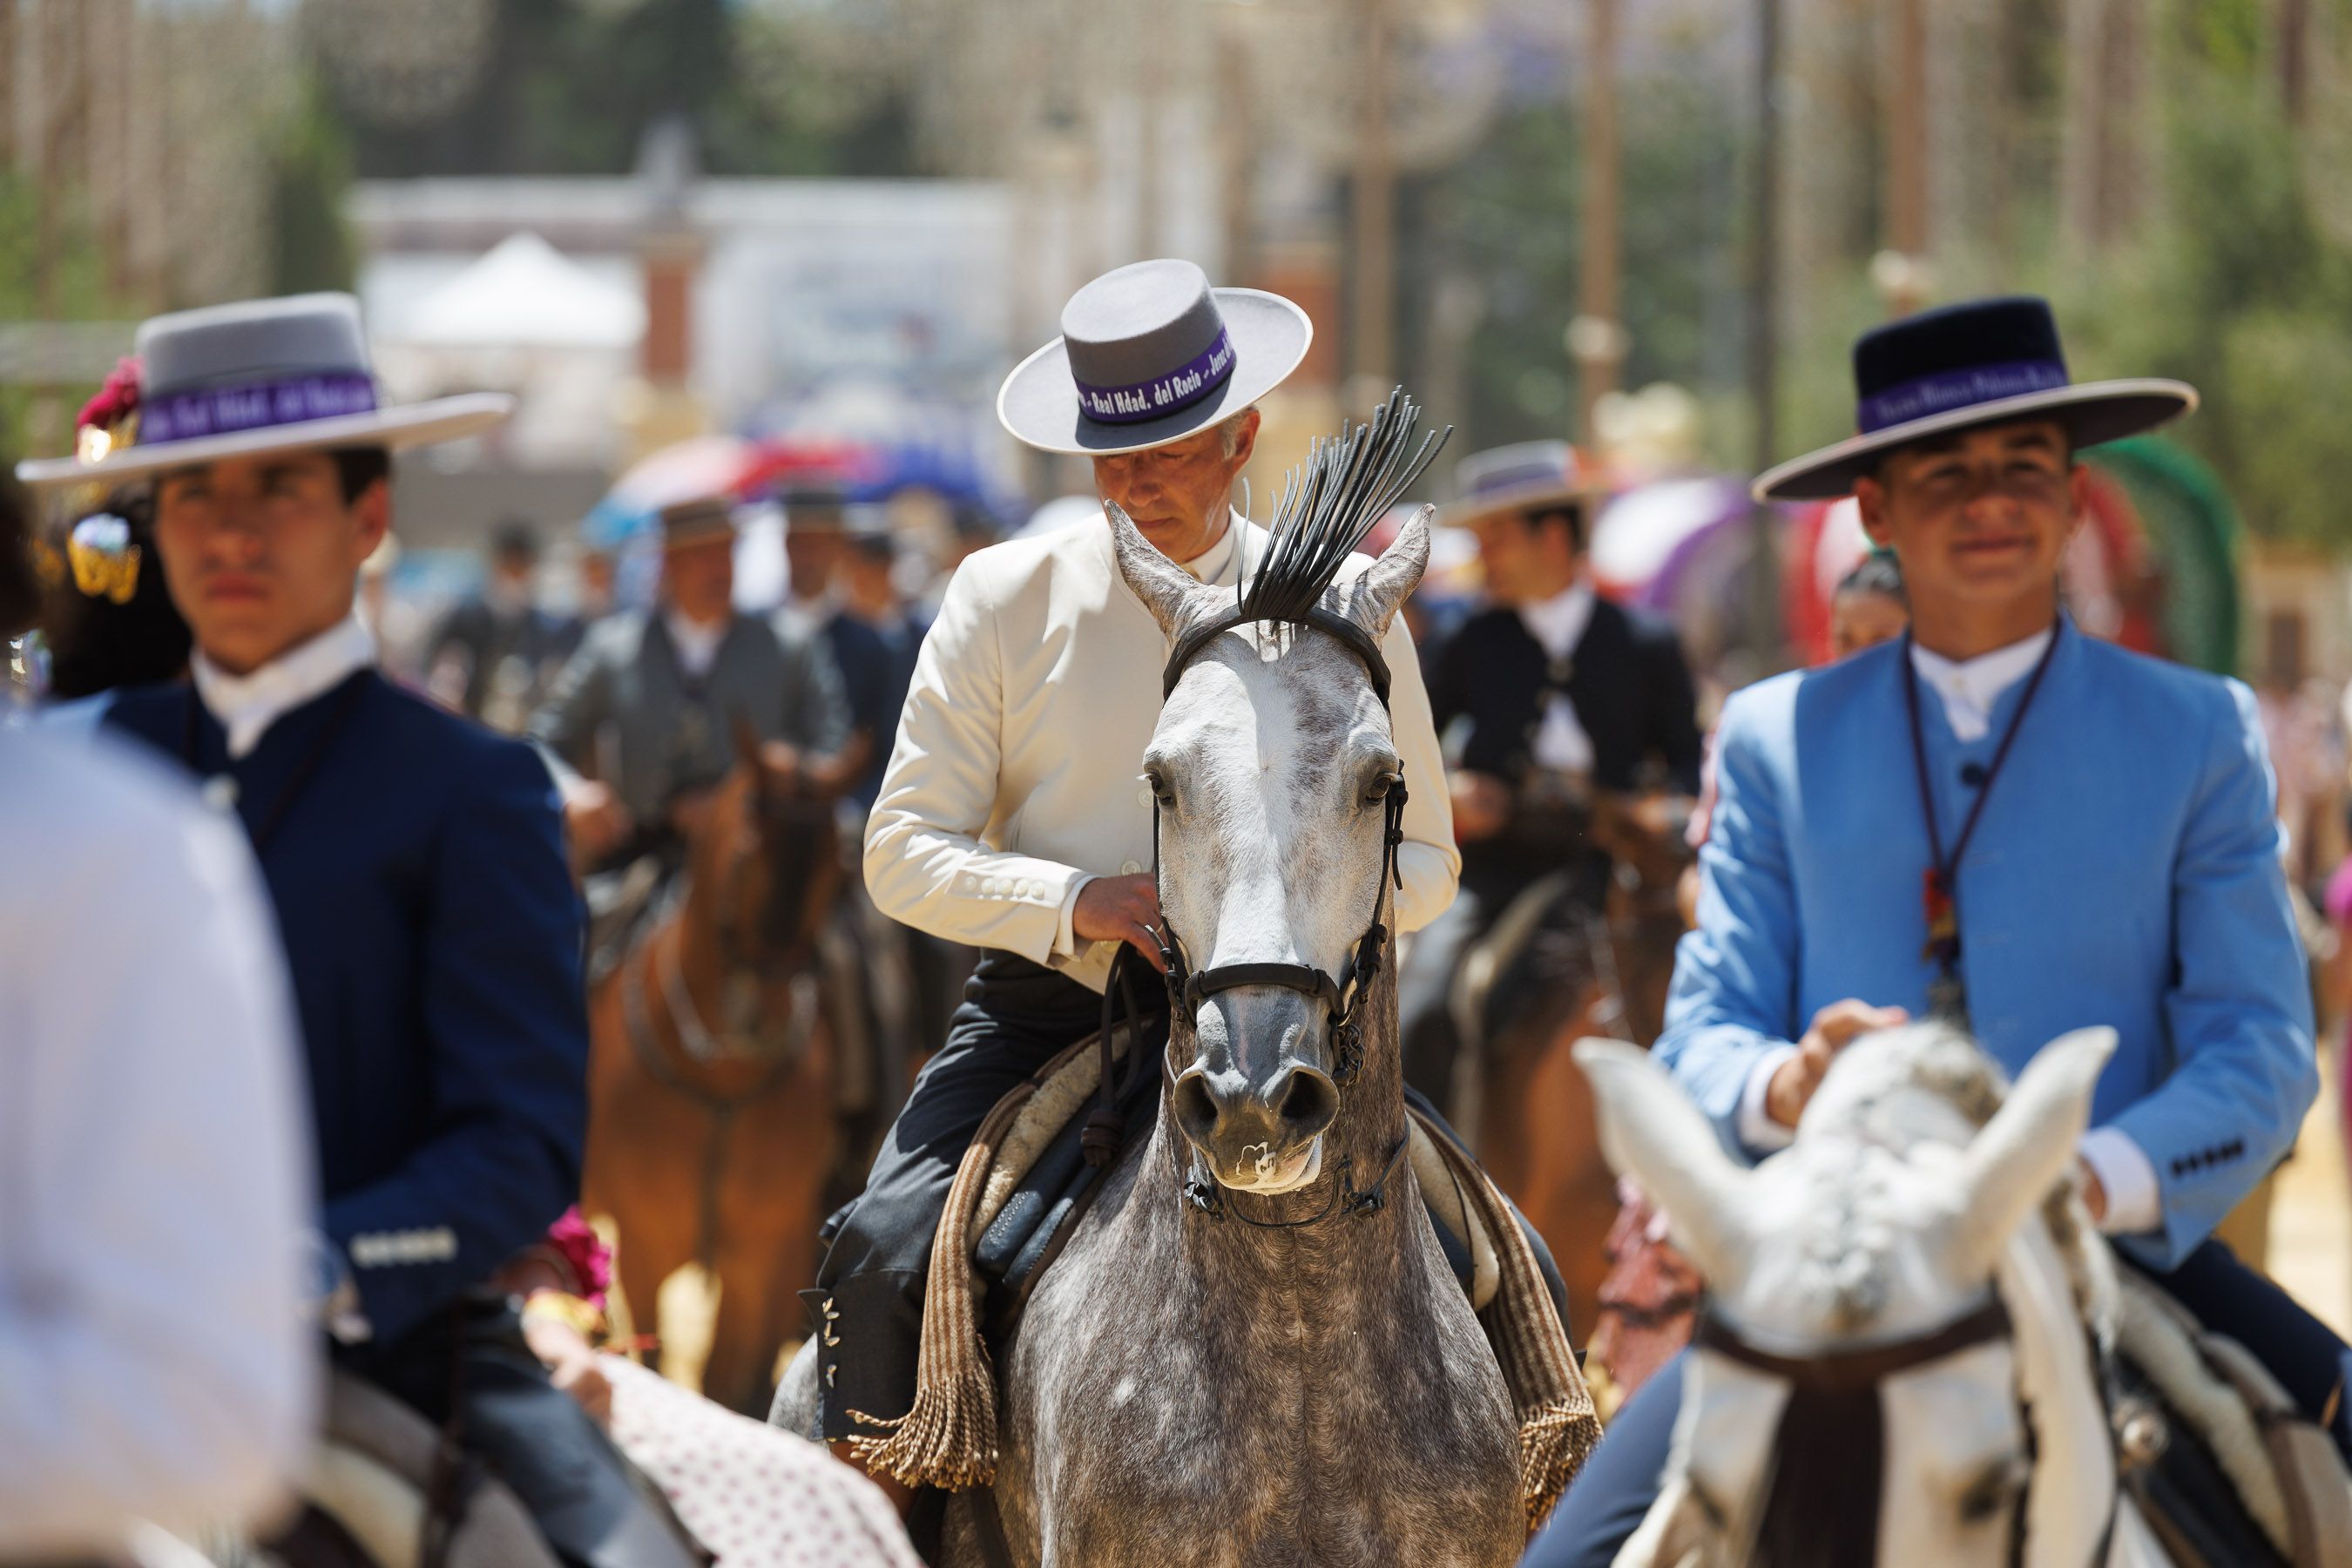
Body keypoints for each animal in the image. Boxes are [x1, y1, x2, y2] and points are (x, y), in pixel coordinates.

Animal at [583, 723, 852, 1416]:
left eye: (837, 872)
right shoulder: (645, 1243)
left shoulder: (761, 1254)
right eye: (740, 860)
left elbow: (732, 1383)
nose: (760, 1015)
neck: (719, 1081)